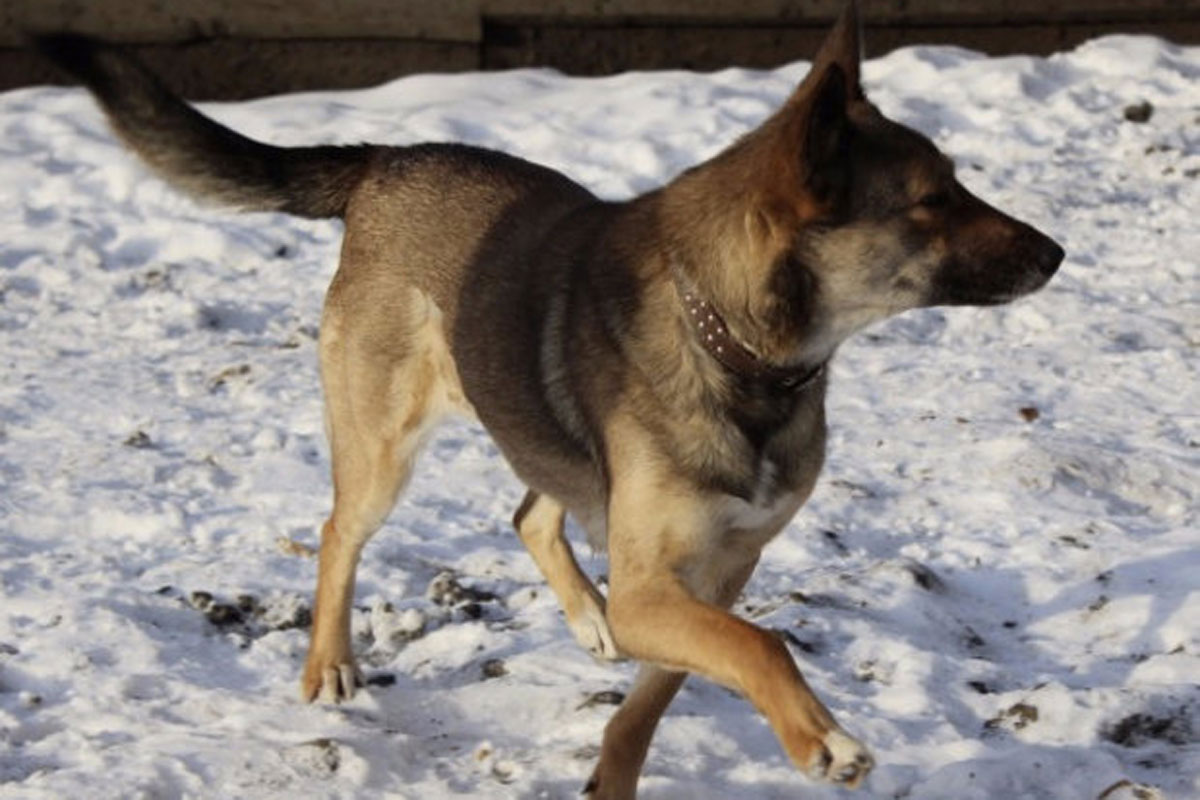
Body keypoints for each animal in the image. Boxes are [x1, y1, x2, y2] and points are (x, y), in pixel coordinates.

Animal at [37, 1, 1060, 796]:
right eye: (933, 200)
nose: (1057, 252)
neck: (740, 348)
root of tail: (385, 160)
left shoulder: (718, 575)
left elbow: (662, 691)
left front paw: (615, 773)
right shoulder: (660, 585)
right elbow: (761, 647)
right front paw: (826, 741)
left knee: (530, 512)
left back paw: (585, 617)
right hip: (381, 446)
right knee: (338, 532)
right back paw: (330, 665)